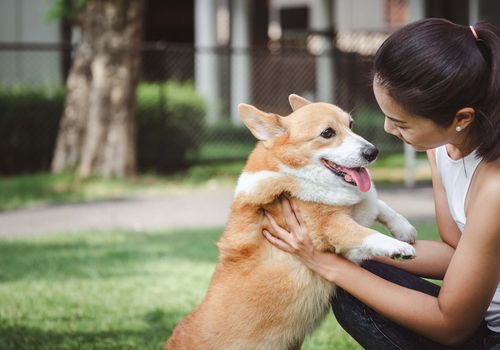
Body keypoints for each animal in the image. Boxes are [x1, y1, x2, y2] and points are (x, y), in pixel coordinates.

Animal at [165, 94, 418, 348]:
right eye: (327, 133)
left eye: (351, 124)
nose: (373, 152)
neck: (294, 171)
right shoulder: (328, 227)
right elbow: (365, 233)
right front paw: (398, 248)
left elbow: (378, 204)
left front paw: (404, 229)